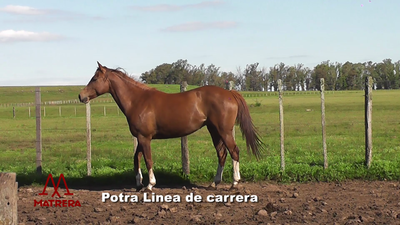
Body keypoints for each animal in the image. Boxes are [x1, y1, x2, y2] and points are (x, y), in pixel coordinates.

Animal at [79, 62, 264, 192]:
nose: (81, 96)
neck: (137, 100)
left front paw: (150, 185)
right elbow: (136, 158)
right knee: (222, 153)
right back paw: (214, 183)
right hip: (214, 131)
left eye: (94, 79)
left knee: (234, 151)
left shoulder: (145, 138)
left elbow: (147, 159)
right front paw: (138, 184)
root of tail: (230, 93)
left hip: (224, 131)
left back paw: (234, 183)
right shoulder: (140, 137)